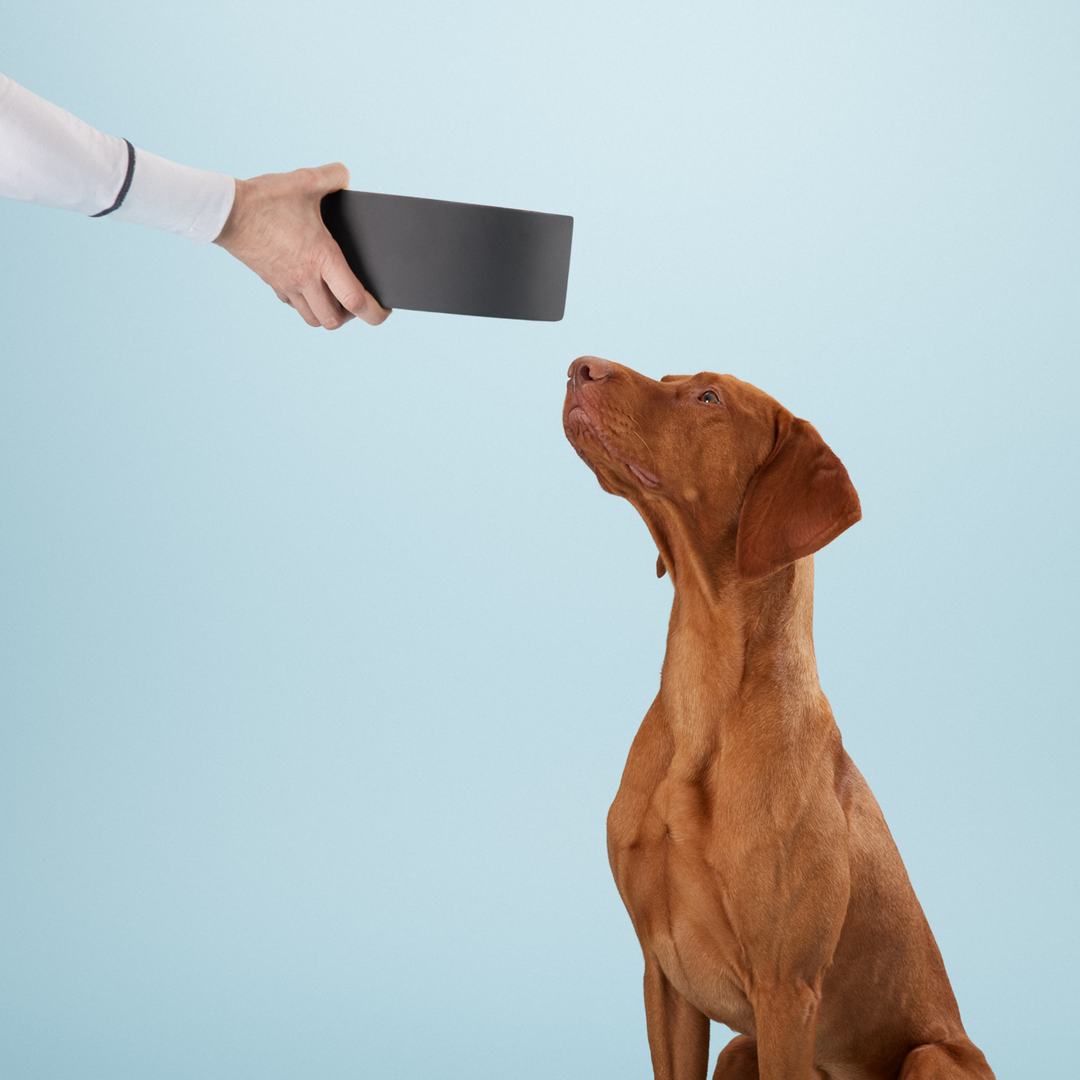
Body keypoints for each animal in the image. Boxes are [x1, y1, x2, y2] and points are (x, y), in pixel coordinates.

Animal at [565, 356, 993, 1080]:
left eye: (708, 397)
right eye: (668, 379)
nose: (578, 367)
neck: (703, 700)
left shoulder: (785, 990)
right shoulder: (665, 978)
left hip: (930, 1055)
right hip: (740, 1046)